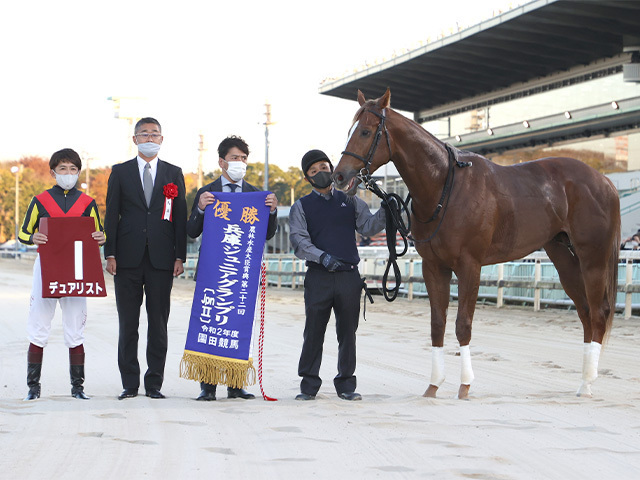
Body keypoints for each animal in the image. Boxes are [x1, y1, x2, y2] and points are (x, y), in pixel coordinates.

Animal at [336, 88, 620, 400]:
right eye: (349, 131)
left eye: (365, 131)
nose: (339, 176)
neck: (444, 186)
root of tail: (604, 181)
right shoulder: (434, 267)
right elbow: (437, 324)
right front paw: (433, 386)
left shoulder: (469, 266)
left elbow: (463, 325)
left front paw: (464, 386)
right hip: (562, 257)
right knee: (585, 311)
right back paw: (583, 383)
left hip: (592, 259)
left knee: (598, 312)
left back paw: (589, 383)